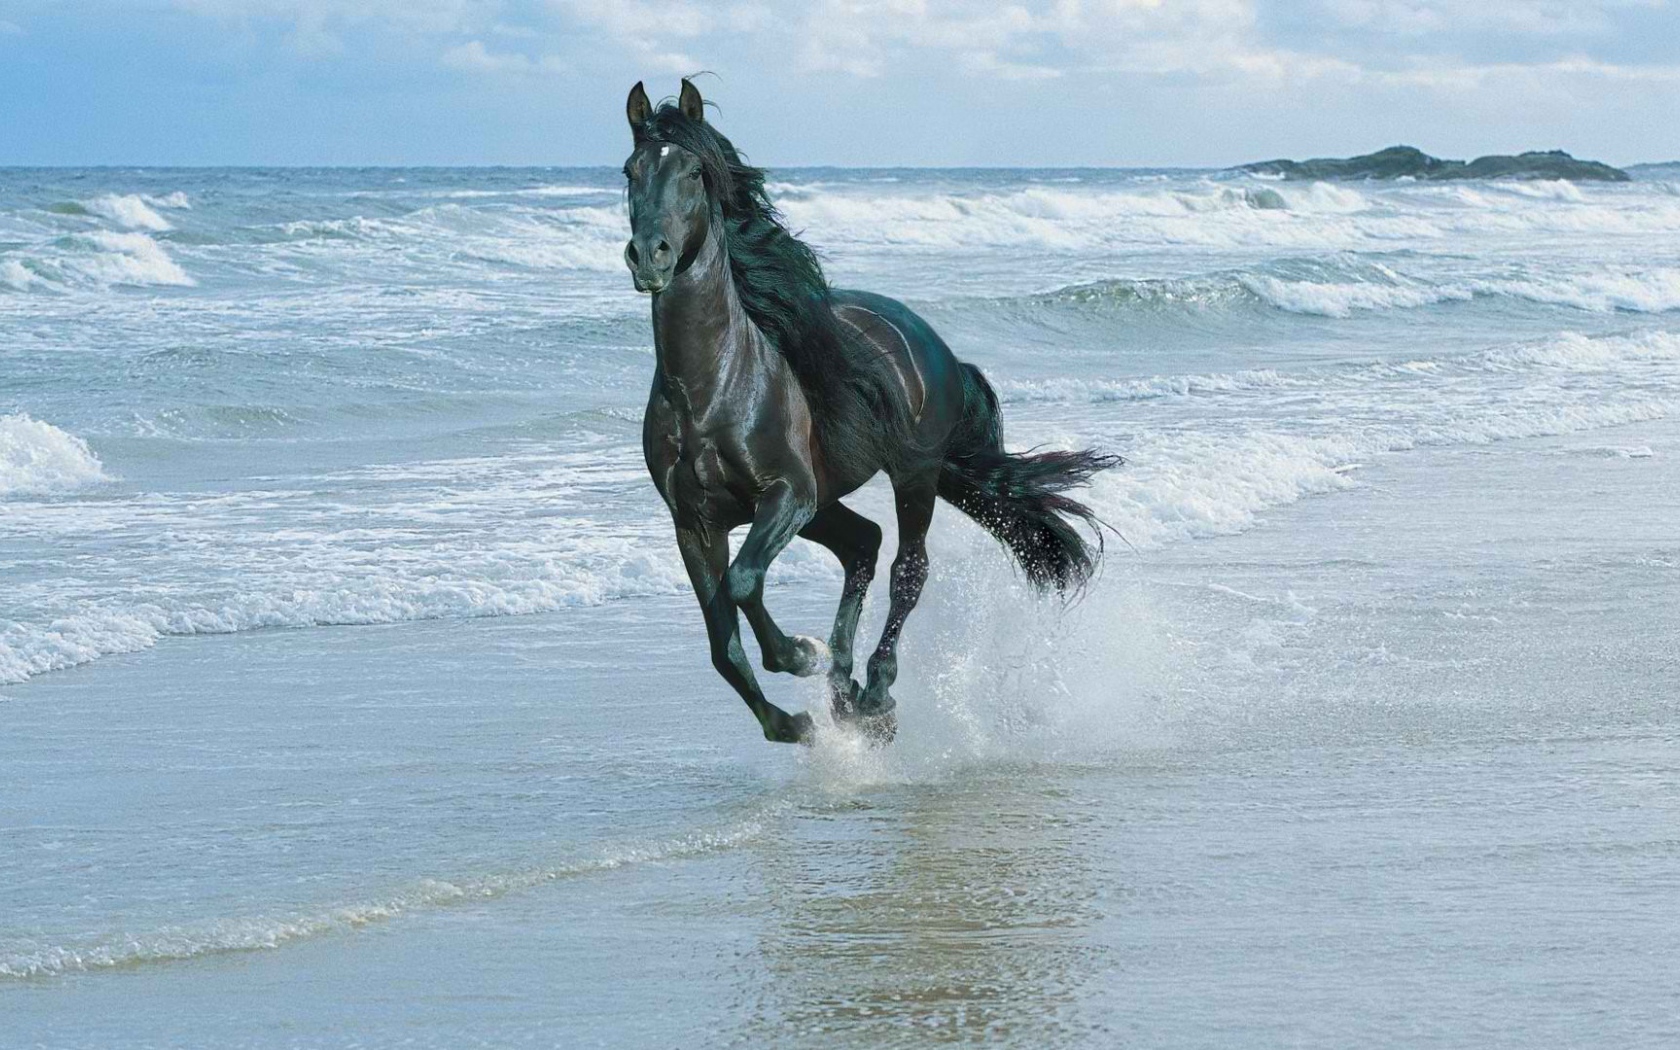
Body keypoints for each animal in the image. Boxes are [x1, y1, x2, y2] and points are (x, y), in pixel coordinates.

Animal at [622, 79, 1119, 745]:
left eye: (695, 172)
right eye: (630, 171)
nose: (649, 256)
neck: (712, 388)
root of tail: (933, 344)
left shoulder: (787, 494)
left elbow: (745, 582)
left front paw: (799, 654)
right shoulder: (695, 523)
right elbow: (722, 644)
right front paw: (793, 721)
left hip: (911, 476)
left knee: (908, 568)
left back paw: (875, 691)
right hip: (827, 502)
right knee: (863, 544)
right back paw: (845, 690)